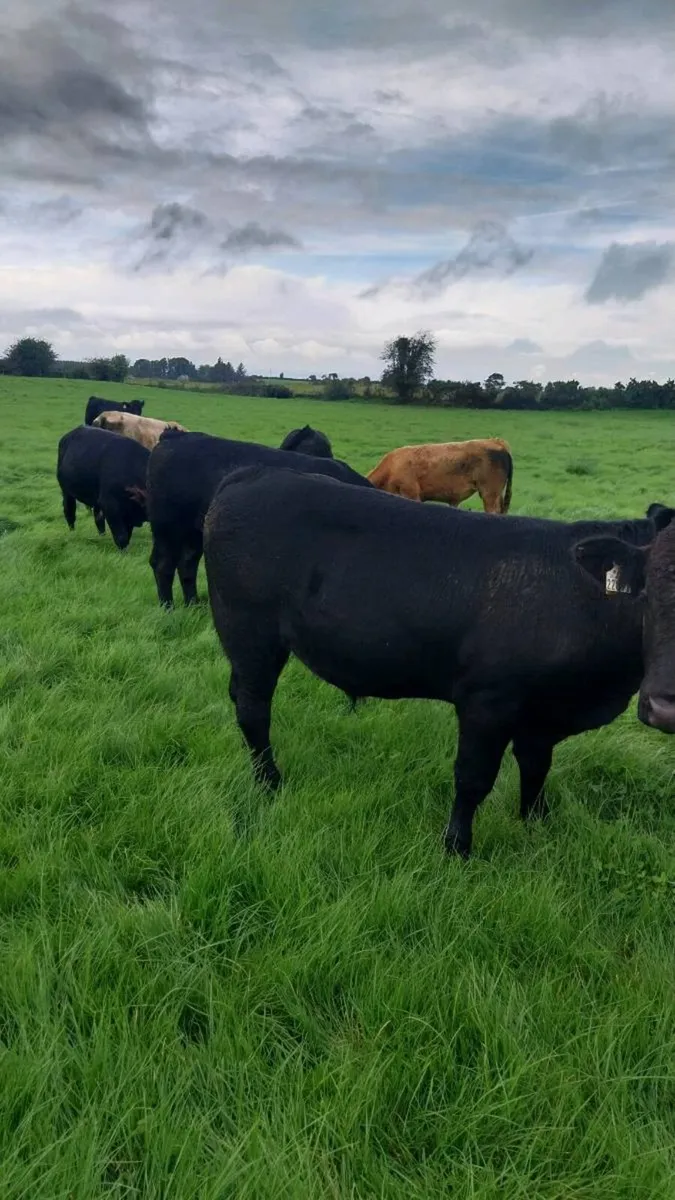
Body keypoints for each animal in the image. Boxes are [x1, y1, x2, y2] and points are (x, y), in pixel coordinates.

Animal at [147, 429, 373, 608]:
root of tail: (174, 437)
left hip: (193, 531)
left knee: (187, 563)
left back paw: (192, 604)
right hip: (168, 527)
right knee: (163, 564)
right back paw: (168, 608)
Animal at [202, 466, 675, 857]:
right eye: (648, 592)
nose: (664, 708)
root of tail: (252, 474)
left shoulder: (542, 713)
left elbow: (536, 767)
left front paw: (536, 824)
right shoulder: (487, 700)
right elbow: (473, 778)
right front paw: (457, 848)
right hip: (249, 632)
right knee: (253, 710)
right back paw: (269, 781)